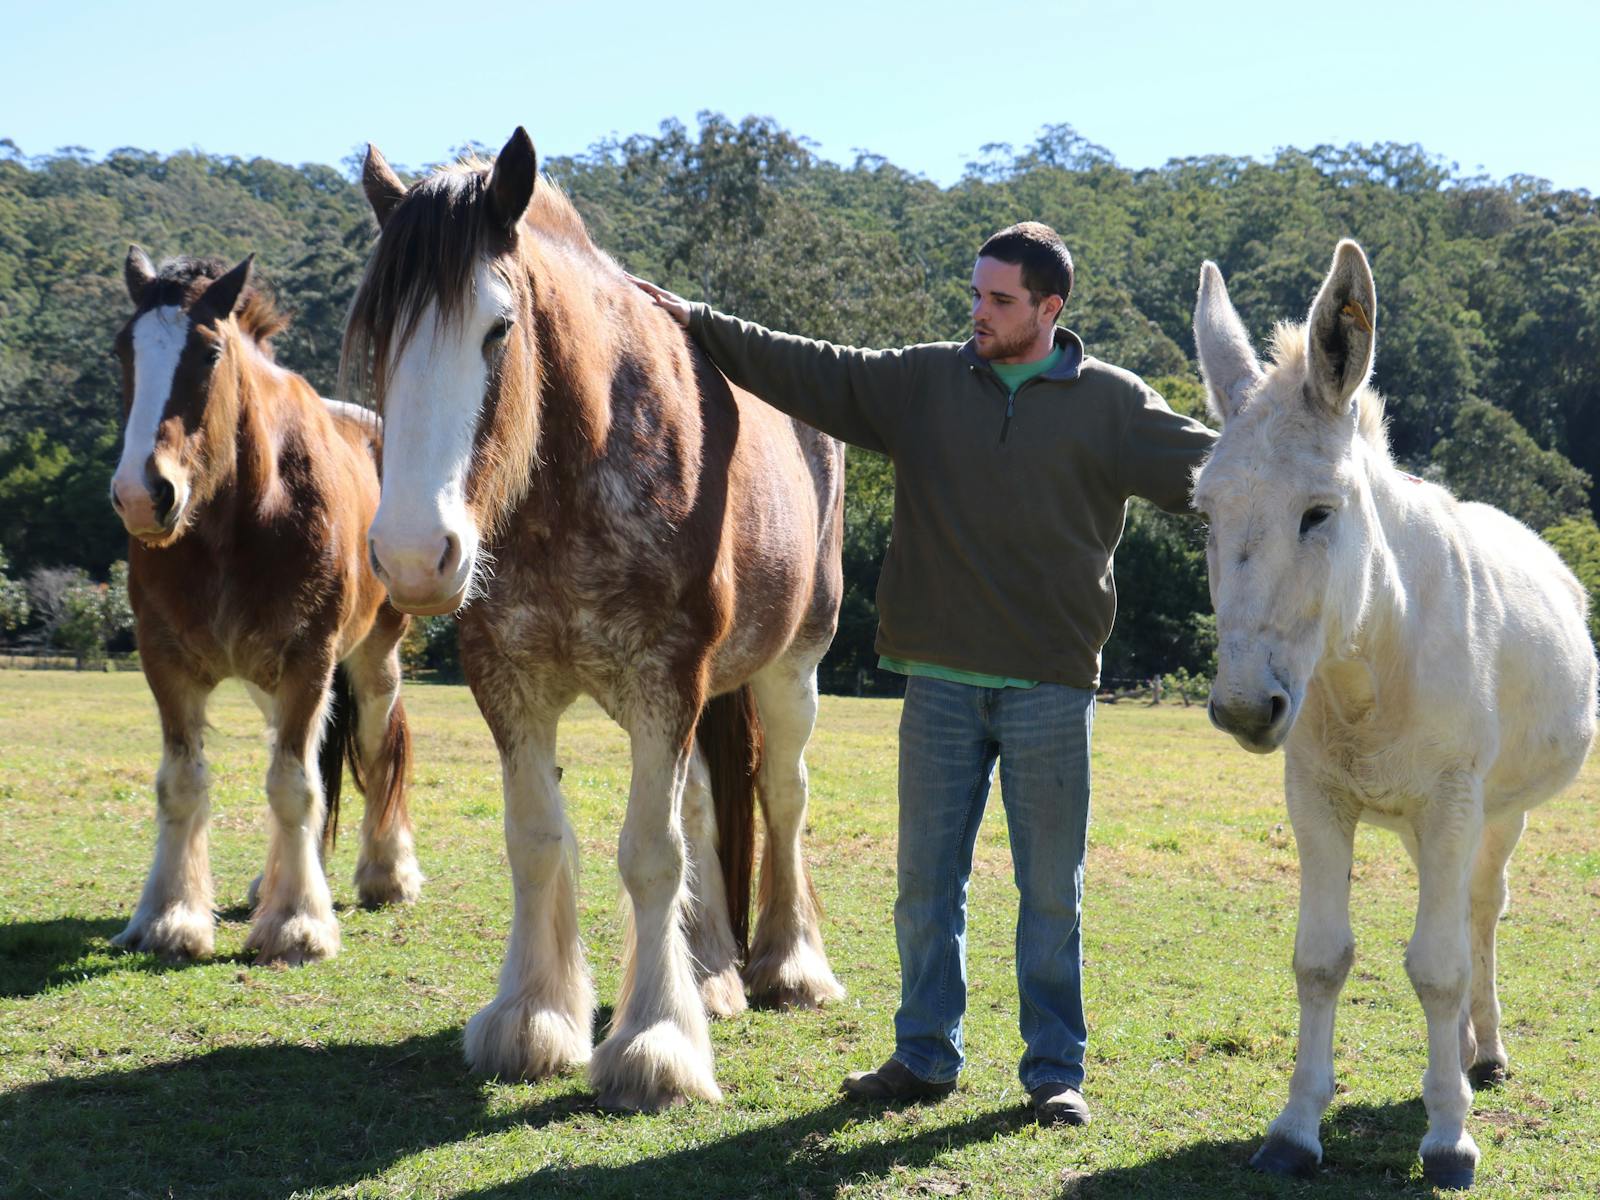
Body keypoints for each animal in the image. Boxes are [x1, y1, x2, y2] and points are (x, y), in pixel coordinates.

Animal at [109, 248, 422, 965]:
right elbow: (183, 782)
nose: (141, 495)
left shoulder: (310, 659)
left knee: (374, 746)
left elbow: (293, 784)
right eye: (123, 352)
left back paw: (385, 872)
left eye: (209, 353)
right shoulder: (164, 661)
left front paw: (297, 924)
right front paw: (169, 917)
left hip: (372, 658)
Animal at [341, 127, 845, 1111]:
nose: (415, 555)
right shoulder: (510, 684)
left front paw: (655, 1044)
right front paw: (534, 1019)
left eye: (498, 328)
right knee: (706, 806)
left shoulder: (666, 680)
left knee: (782, 795)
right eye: (382, 335)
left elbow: (649, 853)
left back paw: (789, 964)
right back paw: (712, 971)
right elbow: (539, 841)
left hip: (790, 669)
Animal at [1191, 240, 1598, 1189]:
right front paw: (1295, 1129)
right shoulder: (1317, 799)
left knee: (1482, 911)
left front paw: (1450, 1136)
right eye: (1204, 513)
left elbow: (1440, 967)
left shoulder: (1452, 799)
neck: (1364, 665)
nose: (1243, 707)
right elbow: (1321, 959)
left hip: (1497, 812)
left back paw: (1484, 1056)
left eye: (1318, 513)